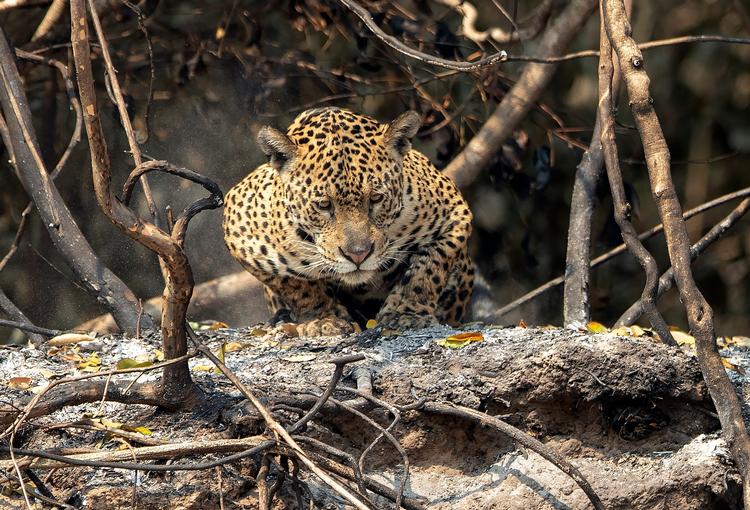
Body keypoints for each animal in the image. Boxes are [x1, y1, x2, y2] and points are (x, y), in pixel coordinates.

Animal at [222, 107, 474, 336]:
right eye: (324, 205)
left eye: (376, 198)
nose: (358, 255)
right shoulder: (240, 231)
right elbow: (296, 285)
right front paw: (324, 319)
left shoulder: (455, 214)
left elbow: (428, 268)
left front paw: (405, 312)